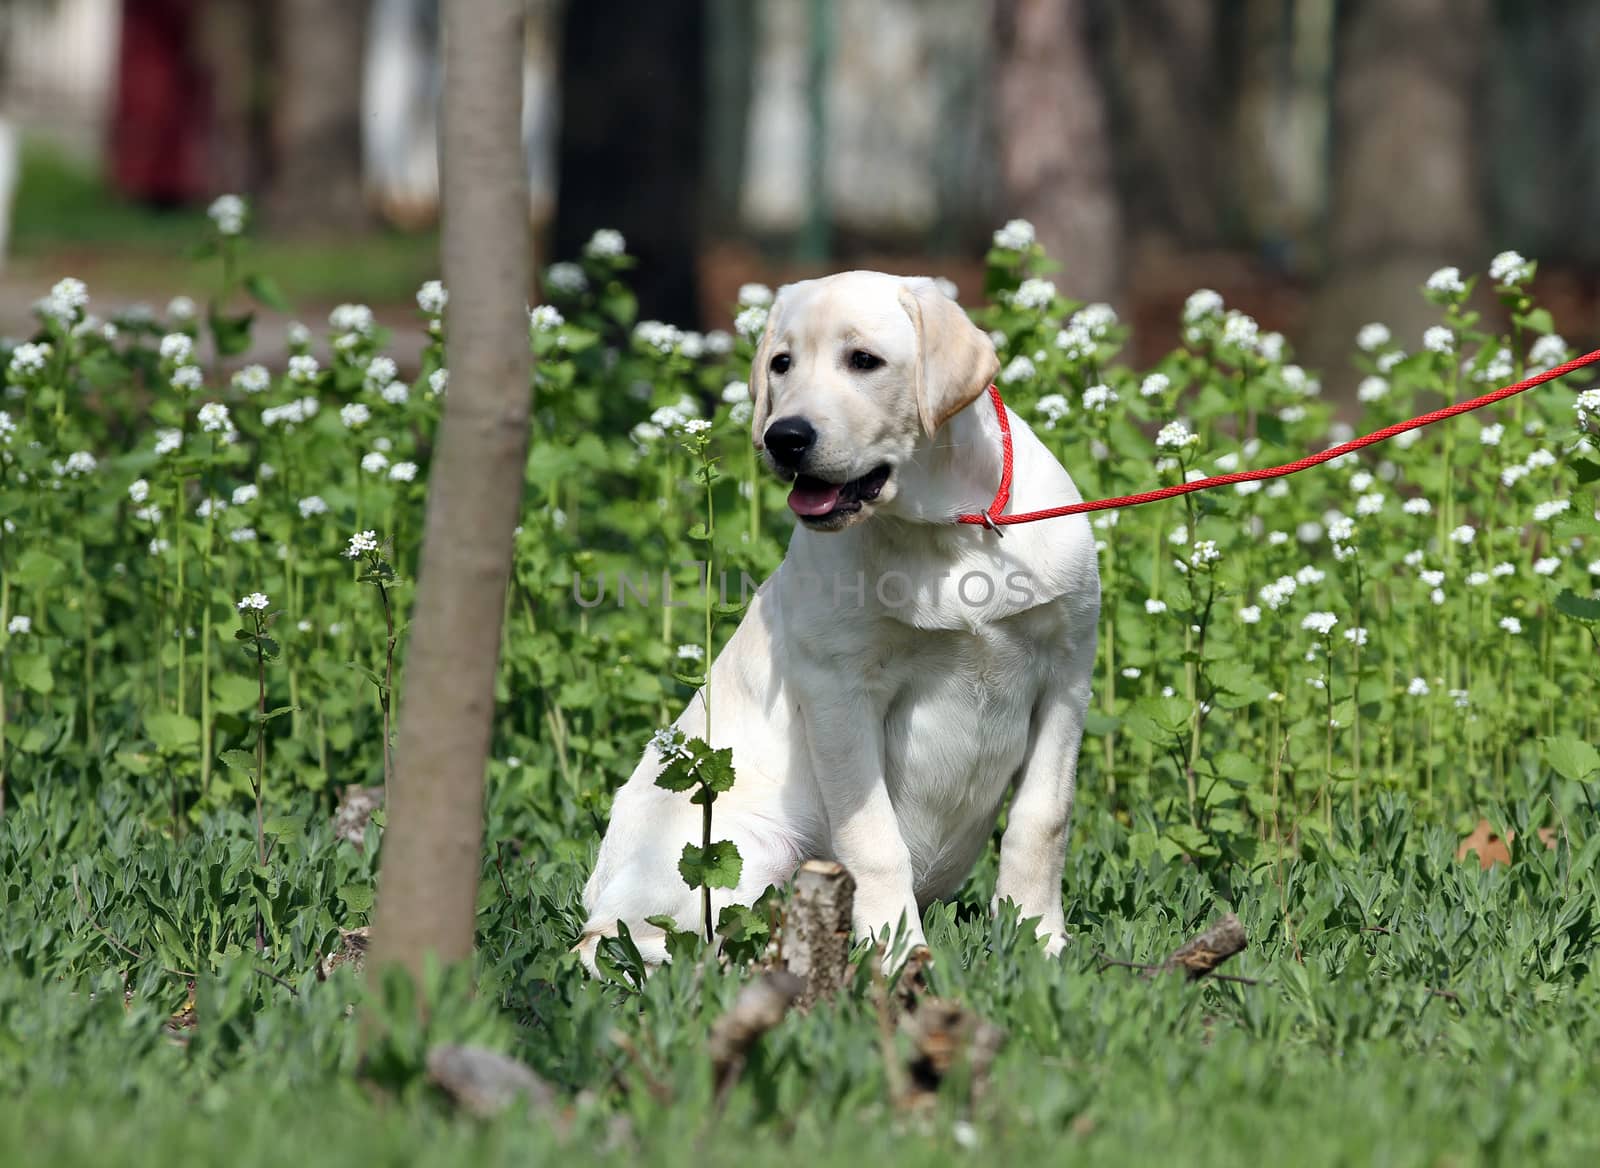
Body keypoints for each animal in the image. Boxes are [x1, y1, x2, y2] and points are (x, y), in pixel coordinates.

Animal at [579, 270, 1100, 966]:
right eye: (781, 363)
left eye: (864, 361)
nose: (784, 437)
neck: (941, 529)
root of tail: (598, 888)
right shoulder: (840, 693)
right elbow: (873, 840)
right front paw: (896, 951)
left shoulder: (1066, 678)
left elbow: (1043, 819)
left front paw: (1038, 940)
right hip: (741, 853)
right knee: (645, 941)